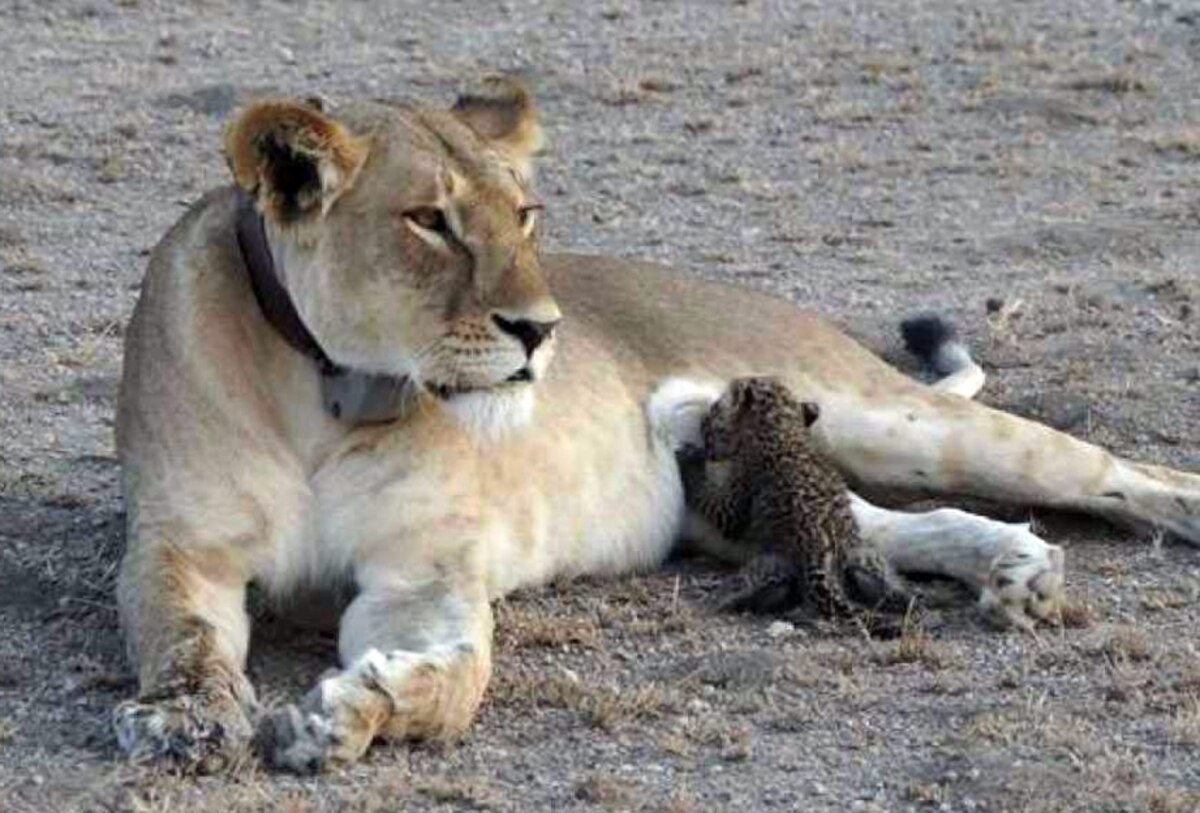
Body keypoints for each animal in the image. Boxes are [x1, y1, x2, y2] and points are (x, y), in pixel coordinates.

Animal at [112, 77, 1200, 773]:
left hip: (889, 419)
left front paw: (352, 712)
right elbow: (184, 636)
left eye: (525, 214)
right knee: (889, 524)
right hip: (742, 502)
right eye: (430, 221)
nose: (541, 330)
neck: (332, 392)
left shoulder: (425, 573)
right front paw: (186, 720)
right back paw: (1017, 568)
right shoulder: (178, 546)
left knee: (1111, 469)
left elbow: (459, 677)